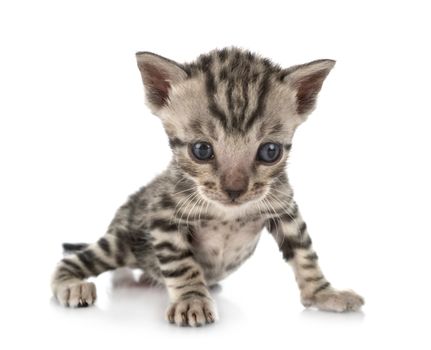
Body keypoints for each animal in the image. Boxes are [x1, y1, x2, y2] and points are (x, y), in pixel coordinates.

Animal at [53, 47, 364, 326]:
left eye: (270, 151)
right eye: (201, 150)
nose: (234, 190)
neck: (227, 212)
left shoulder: (284, 208)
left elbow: (305, 255)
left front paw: (324, 293)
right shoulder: (163, 218)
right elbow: (182, 264)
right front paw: (192, 300)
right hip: (122, 241)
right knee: (72, 262)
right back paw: (71, 285)